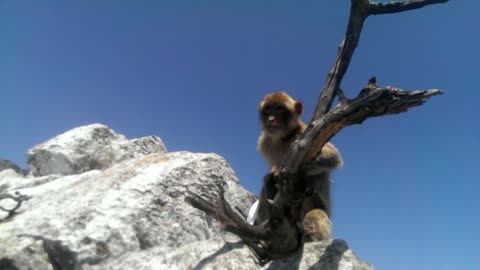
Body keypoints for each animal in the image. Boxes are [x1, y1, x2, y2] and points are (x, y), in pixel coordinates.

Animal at [255, 91, 342, 243]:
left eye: (279, 109)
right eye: (268, 110)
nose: (271, 119)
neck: (283, 138)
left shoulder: (303, 134)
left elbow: (333, 157)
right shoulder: (264, 142)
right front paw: (274, 173)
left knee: (315, 214)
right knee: (267, 183)